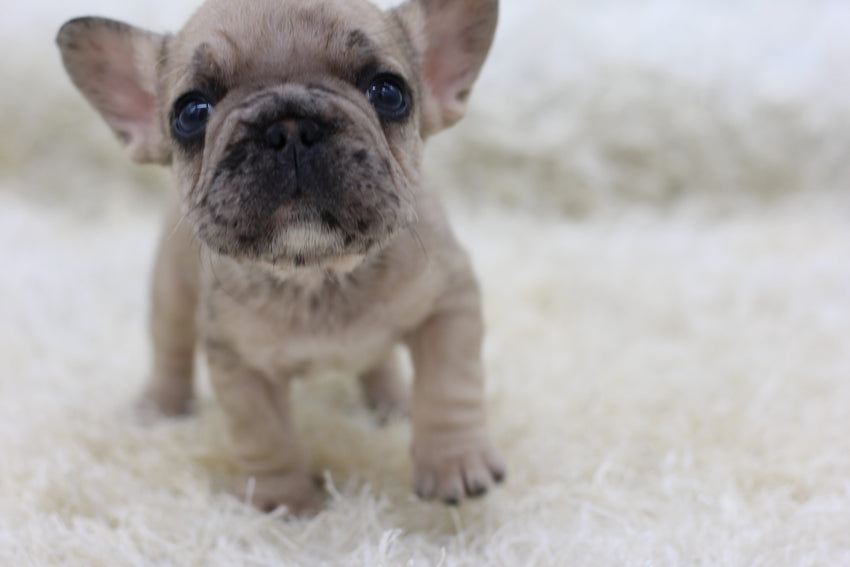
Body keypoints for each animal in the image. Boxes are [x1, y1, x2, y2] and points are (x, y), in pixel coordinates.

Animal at [58, 0, 504, 516]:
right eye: (190, 113)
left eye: (390, 92)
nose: (289, 127)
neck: (321, 276)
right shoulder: (238, 362)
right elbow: (265, 435)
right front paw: (286, 501)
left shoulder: (449, 305)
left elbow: (451, 386)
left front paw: (455, 462)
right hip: (170, 293)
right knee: (169, 349)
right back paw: (160, 406)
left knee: (379, 361)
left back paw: (390, 402)